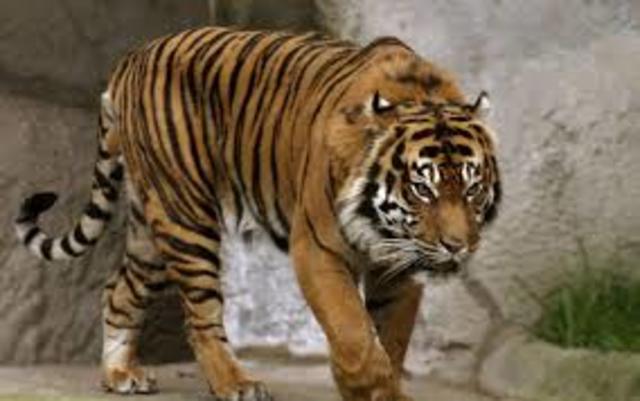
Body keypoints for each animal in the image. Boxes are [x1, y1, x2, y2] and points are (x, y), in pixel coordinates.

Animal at [14, 27, 501, 401]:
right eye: (423, 189)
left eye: (473, 189)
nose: (457, 247)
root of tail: (131, 58)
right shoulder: (318, 248)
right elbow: (354, 332)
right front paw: (363, 383)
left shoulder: (398, 265)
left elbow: (391, 339)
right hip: (185, 216)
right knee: (201, 315)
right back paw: (235, 383)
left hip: (149, 223)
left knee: (118, 290)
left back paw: (119, 374)